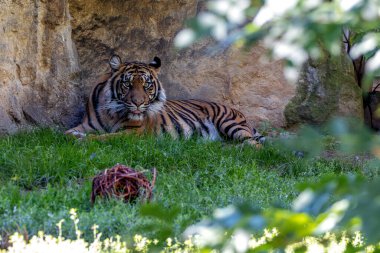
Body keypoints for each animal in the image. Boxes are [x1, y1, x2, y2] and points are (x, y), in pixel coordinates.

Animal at [64, 55, 264, 146]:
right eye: (128, 84)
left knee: (254, 145)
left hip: (229, 122)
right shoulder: (86, 126)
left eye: (146, 85)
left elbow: (105, 137)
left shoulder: (133, 133)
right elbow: (66, 134)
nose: (138, 103)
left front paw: (84, 140)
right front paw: (76, 137)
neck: (111, 112)